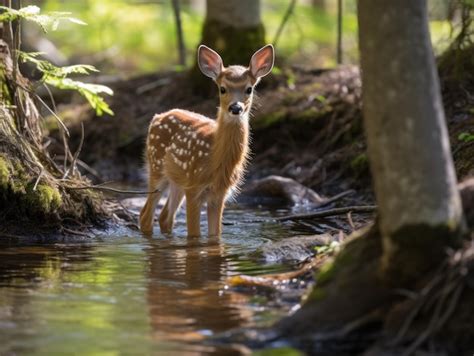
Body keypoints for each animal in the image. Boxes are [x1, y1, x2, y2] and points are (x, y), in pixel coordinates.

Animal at [139, 44, 274, 238]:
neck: (214, 157)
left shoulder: (219, 194)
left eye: (249, 89)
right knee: (146, 216)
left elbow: (215, 235)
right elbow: (194, 235)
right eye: (222, 89)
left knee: (165, 217)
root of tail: (157, 117)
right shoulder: (194, 187)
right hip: (156, 166)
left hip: (177, 179)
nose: (236, 108)